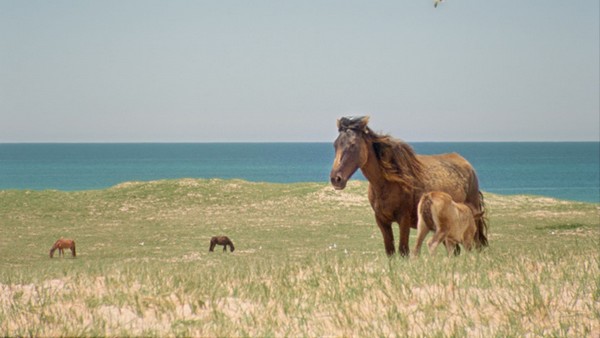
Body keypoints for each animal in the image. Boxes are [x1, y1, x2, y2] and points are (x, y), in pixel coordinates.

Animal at [328, 116, 488, 256]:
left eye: (353, 145)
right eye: (335, 145)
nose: (336, 179)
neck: (386, 185)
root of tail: (468, 166)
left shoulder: (403, 220)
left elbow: (403, 251)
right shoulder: (382, 221)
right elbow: (390, 251)